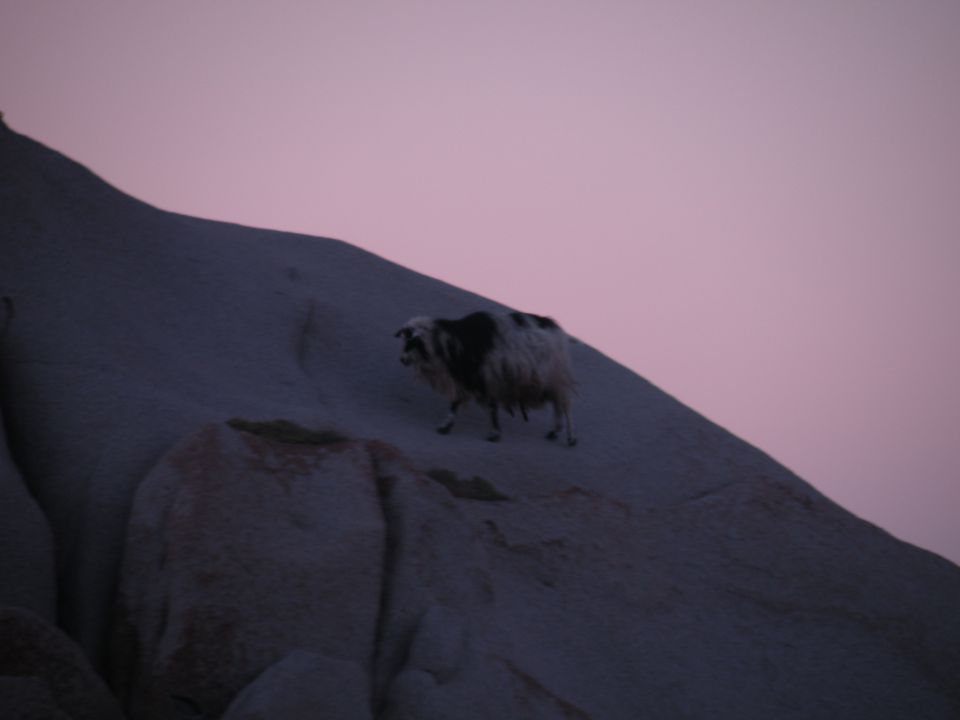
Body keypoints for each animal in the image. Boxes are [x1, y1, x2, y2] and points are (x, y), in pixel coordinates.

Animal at [392, 310, 572, 444]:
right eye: (406, 341)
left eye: (416, 344)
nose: (402, 360)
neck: (456, 343)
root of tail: (554, 327)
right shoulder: (468, 380)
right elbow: (456, 403)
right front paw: (445, 426)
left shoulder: (486, 380)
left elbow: (490, 407)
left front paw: (494, 434)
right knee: (558, 403)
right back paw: (556, 432)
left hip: (553, 377)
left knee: (563, 404)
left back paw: (568, 437)